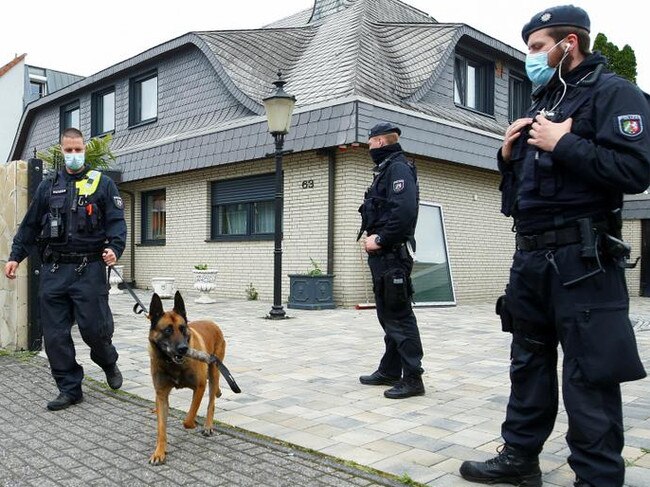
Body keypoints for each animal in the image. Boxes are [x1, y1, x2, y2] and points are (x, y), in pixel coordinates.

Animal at [147, 290, 238, 466]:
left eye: (182, 328)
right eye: (168, 330)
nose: (183, 348)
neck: (172, 364)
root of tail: (212, 323)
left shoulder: (200, 387)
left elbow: (188, 419)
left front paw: (194, 423)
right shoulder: (161, 395)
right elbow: (161, 428)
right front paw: (159, 452)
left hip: (214, 372)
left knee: (211, 403)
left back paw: (208, 426)